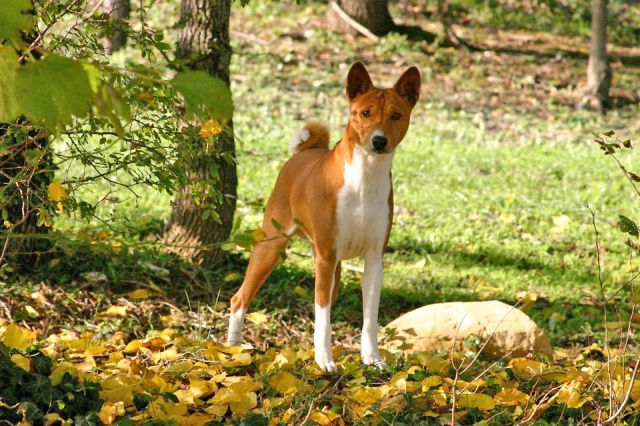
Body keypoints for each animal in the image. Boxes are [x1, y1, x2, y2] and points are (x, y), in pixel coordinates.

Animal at [226, 61, 420, 372]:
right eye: (365, 113)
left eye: (396, 115)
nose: (379, 141)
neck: (364, 181)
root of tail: (305, 152)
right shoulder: (326, 256)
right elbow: (324, 317)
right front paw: (325, 361)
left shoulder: (374, 258)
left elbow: (369, 317)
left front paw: (372, 358)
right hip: (272, 247)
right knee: (239, 298)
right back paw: (232, 347)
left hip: (334, 267)